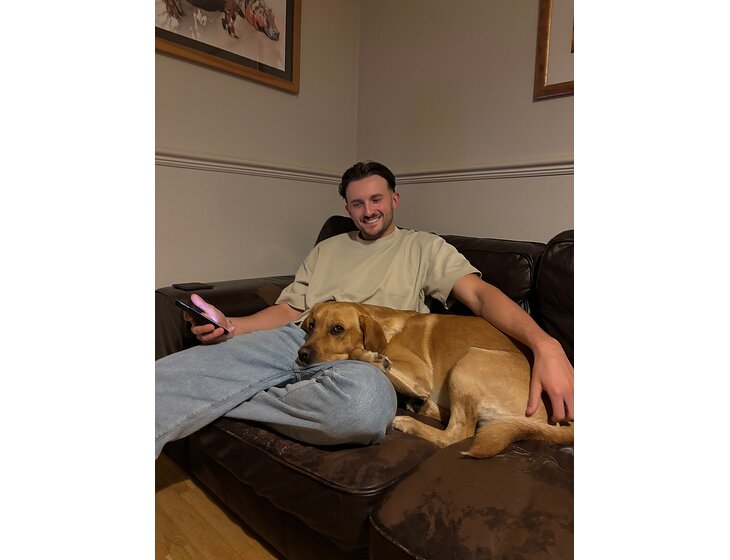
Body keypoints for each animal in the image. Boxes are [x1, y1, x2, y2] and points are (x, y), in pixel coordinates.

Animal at [297, 301, 573, 458]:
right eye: (311, 325)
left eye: (337, 329)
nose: (301, 355)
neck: (386, 328)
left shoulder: (419, 376)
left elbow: (359, 352)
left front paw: (373, 357)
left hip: (468, 361)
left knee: (456, 435)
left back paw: (409, 421)